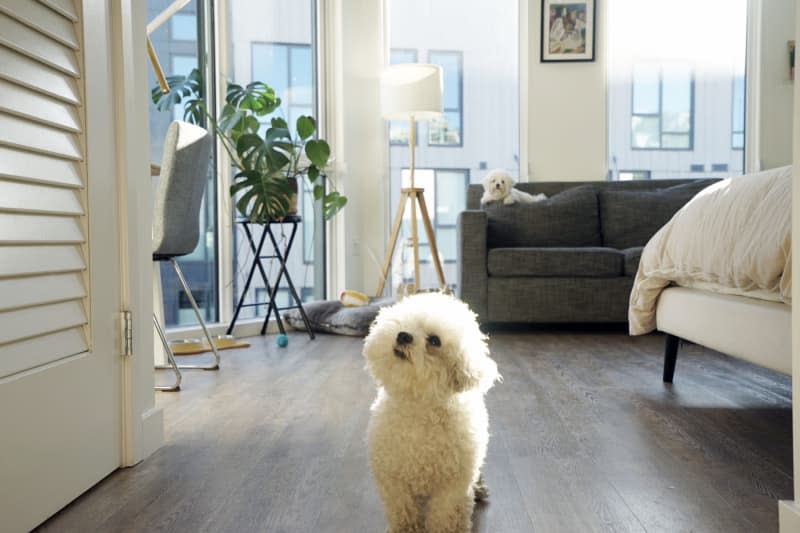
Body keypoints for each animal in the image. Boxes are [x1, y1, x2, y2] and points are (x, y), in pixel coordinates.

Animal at [364, 290, 500, 532]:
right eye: (406, 322)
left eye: (434, 341)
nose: (403, 336)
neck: (419, 407)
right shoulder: (394, 478)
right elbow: (402, 509)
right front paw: (405, 528)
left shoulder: (452, 486)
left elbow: (445, 516)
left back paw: (480, 488)